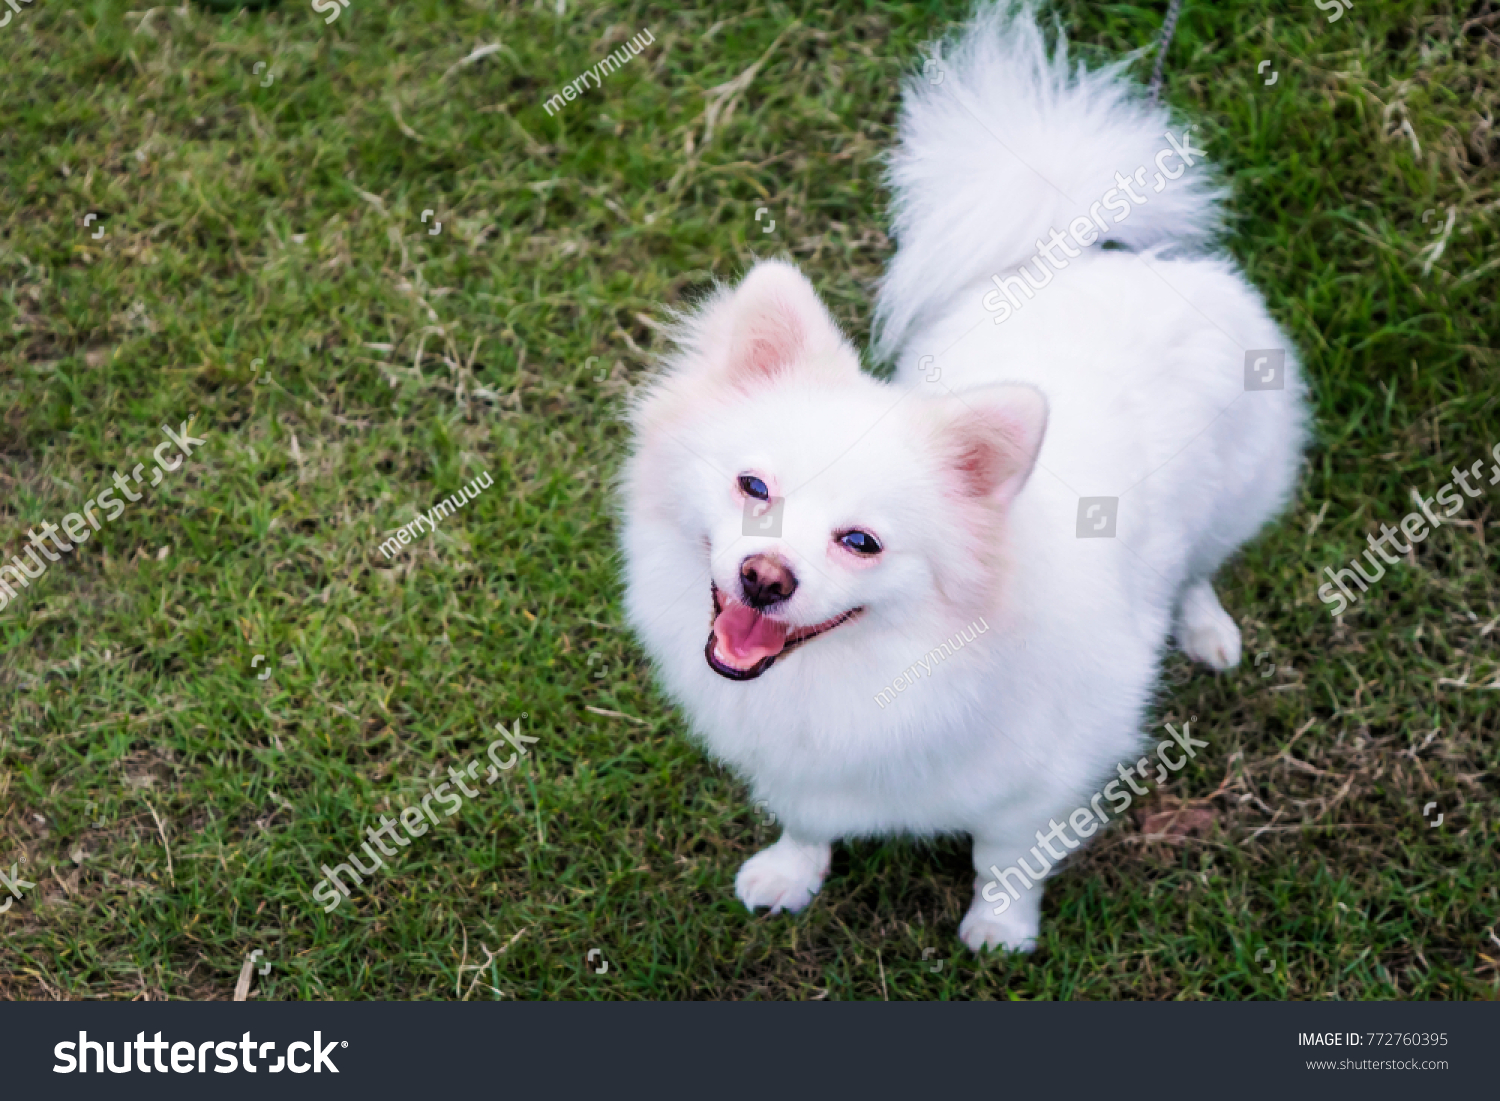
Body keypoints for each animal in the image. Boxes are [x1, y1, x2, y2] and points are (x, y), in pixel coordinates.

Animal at [615, 0, 1308, 954]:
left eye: (861, 541)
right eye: (754, 489)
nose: (764, 575)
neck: (862, 672)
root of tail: (1084, 250)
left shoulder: (1044, 777)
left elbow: (1003, 852)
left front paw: (999, 927)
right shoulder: (798, 762)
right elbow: (807, 818)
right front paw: (792, 872)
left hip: (1238, 491)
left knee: (1202, 565)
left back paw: (1205, 628)